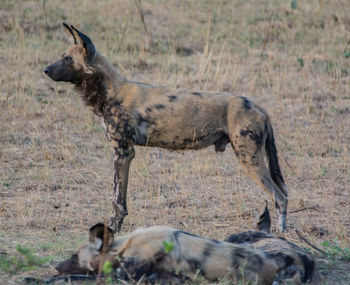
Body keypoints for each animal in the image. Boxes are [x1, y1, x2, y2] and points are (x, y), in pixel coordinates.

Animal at [43, 22, 288, 231]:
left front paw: (113, 227)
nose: (45, 69)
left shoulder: (123, 153)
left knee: (280, 197)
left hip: (249, 159)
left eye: (67, 59)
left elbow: (117, 199)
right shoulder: (123, 153)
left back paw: (279, 233)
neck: (110, 92)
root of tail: (256, 105)